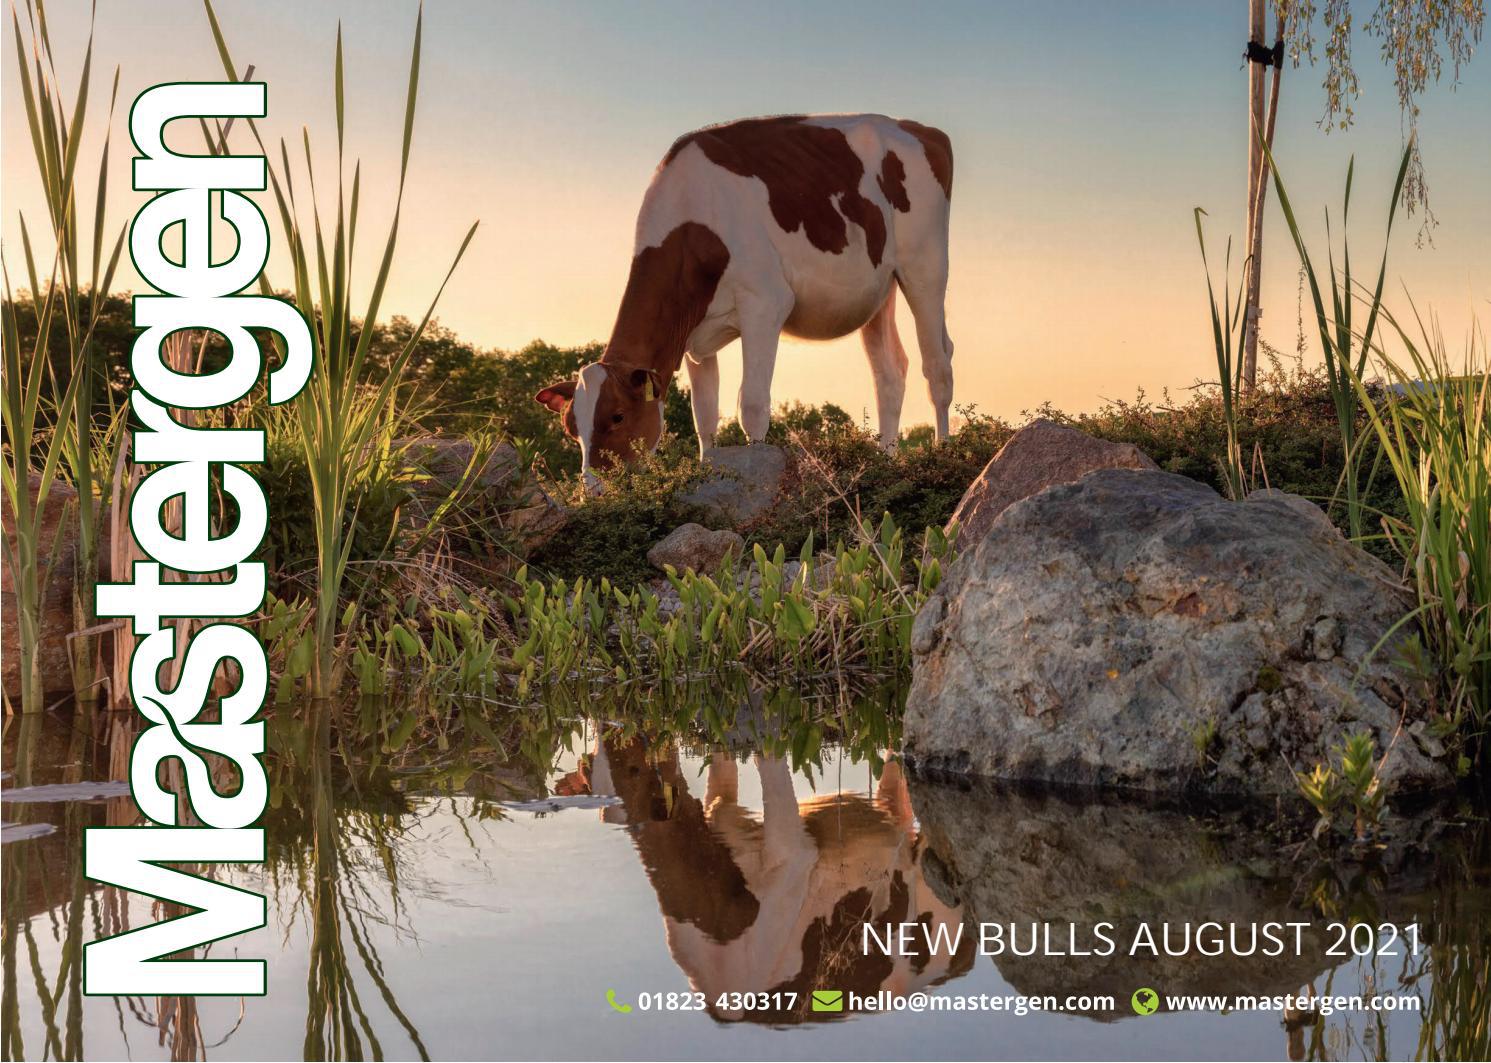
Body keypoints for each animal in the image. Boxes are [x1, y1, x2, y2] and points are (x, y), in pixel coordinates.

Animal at [535, 114, 955, 485]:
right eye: (571, 428)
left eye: (618, 416)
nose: (593, 490)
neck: (694, 214)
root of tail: (917, 128)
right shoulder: (694, 339)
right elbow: (705, 417)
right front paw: (707, 470)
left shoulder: (765, 304)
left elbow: (751, 405)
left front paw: (755, 472)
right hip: (877, 289)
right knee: (889, 373)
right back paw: (886, 459)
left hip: (925, 266)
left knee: (937, 365)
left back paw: (943, 451)